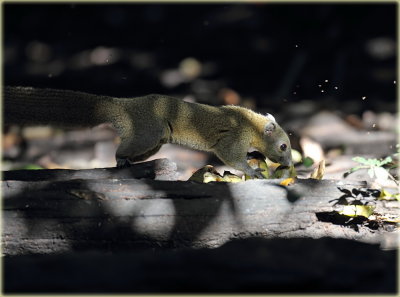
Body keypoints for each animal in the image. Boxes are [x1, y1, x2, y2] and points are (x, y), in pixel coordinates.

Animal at [2, 85, 290, 178]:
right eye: (284, 146)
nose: (287, 164)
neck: (251, 125)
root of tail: (125, 105)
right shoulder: (233, 138)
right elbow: (229, 155)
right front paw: (252, 169)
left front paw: (256, 159)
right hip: (149, 133)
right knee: (123, 149)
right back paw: (120, 160)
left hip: (153, 141)